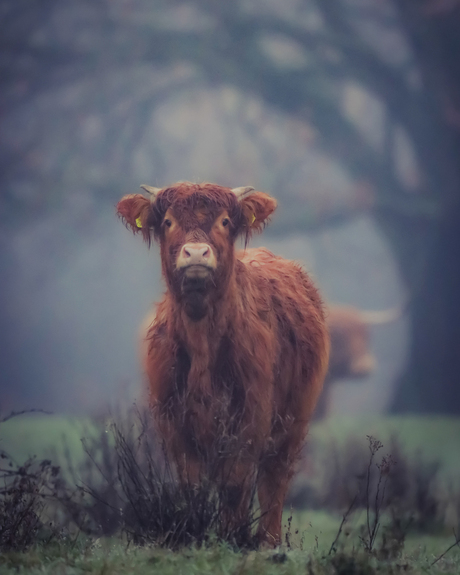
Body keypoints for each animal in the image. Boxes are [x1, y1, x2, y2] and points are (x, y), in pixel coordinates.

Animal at [117, 182, 328, 548]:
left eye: (225, 221)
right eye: (168, 222)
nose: (196, 253)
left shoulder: (250, 416)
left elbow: (234, 484)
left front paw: (232, 537)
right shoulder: (173, 420)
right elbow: (191, 483)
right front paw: (194, 531)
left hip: (294, 419)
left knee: (274, 480)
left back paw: (268, 542)